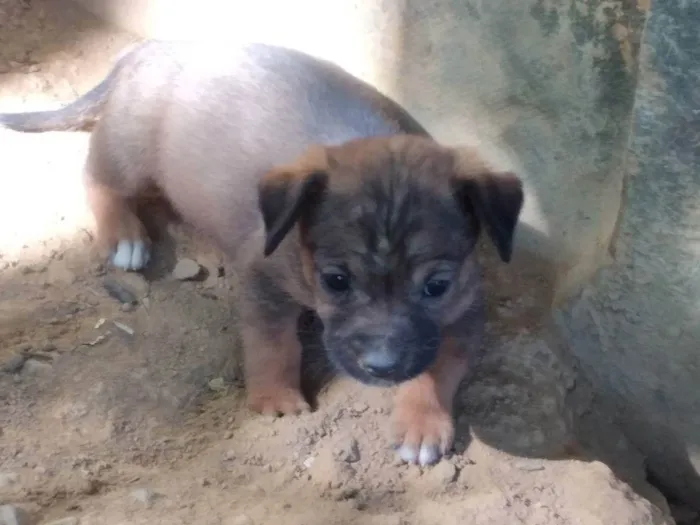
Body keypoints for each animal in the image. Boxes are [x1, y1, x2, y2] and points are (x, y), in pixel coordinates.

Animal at [0, 42, 524, 466]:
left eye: (436, 286)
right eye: (336, 281)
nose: (381, 367)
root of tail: (147, 49)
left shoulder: (464, 312)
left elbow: (437, 369)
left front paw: (421, 423)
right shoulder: (264, 281)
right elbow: (274, 344)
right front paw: (276, 398)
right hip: (128, 149)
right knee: (96, 177)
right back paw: (123, 235)